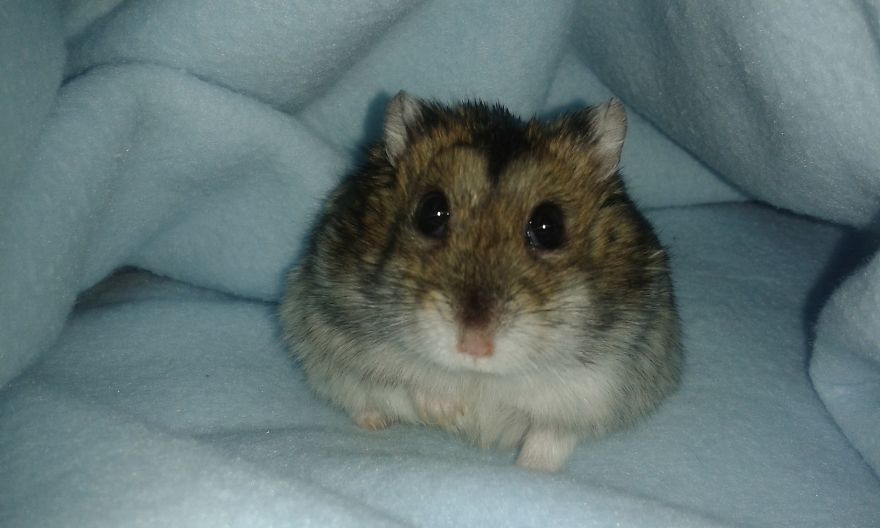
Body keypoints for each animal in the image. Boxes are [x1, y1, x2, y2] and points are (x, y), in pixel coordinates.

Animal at [280, 91, 681, 472]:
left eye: (549, 226)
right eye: (431, 211)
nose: (474, 345)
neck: (481, 377)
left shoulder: (596, 385)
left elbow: (550, 435)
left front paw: (532, 470)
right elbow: (415, 380)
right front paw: (447, 414)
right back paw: (376, 423)